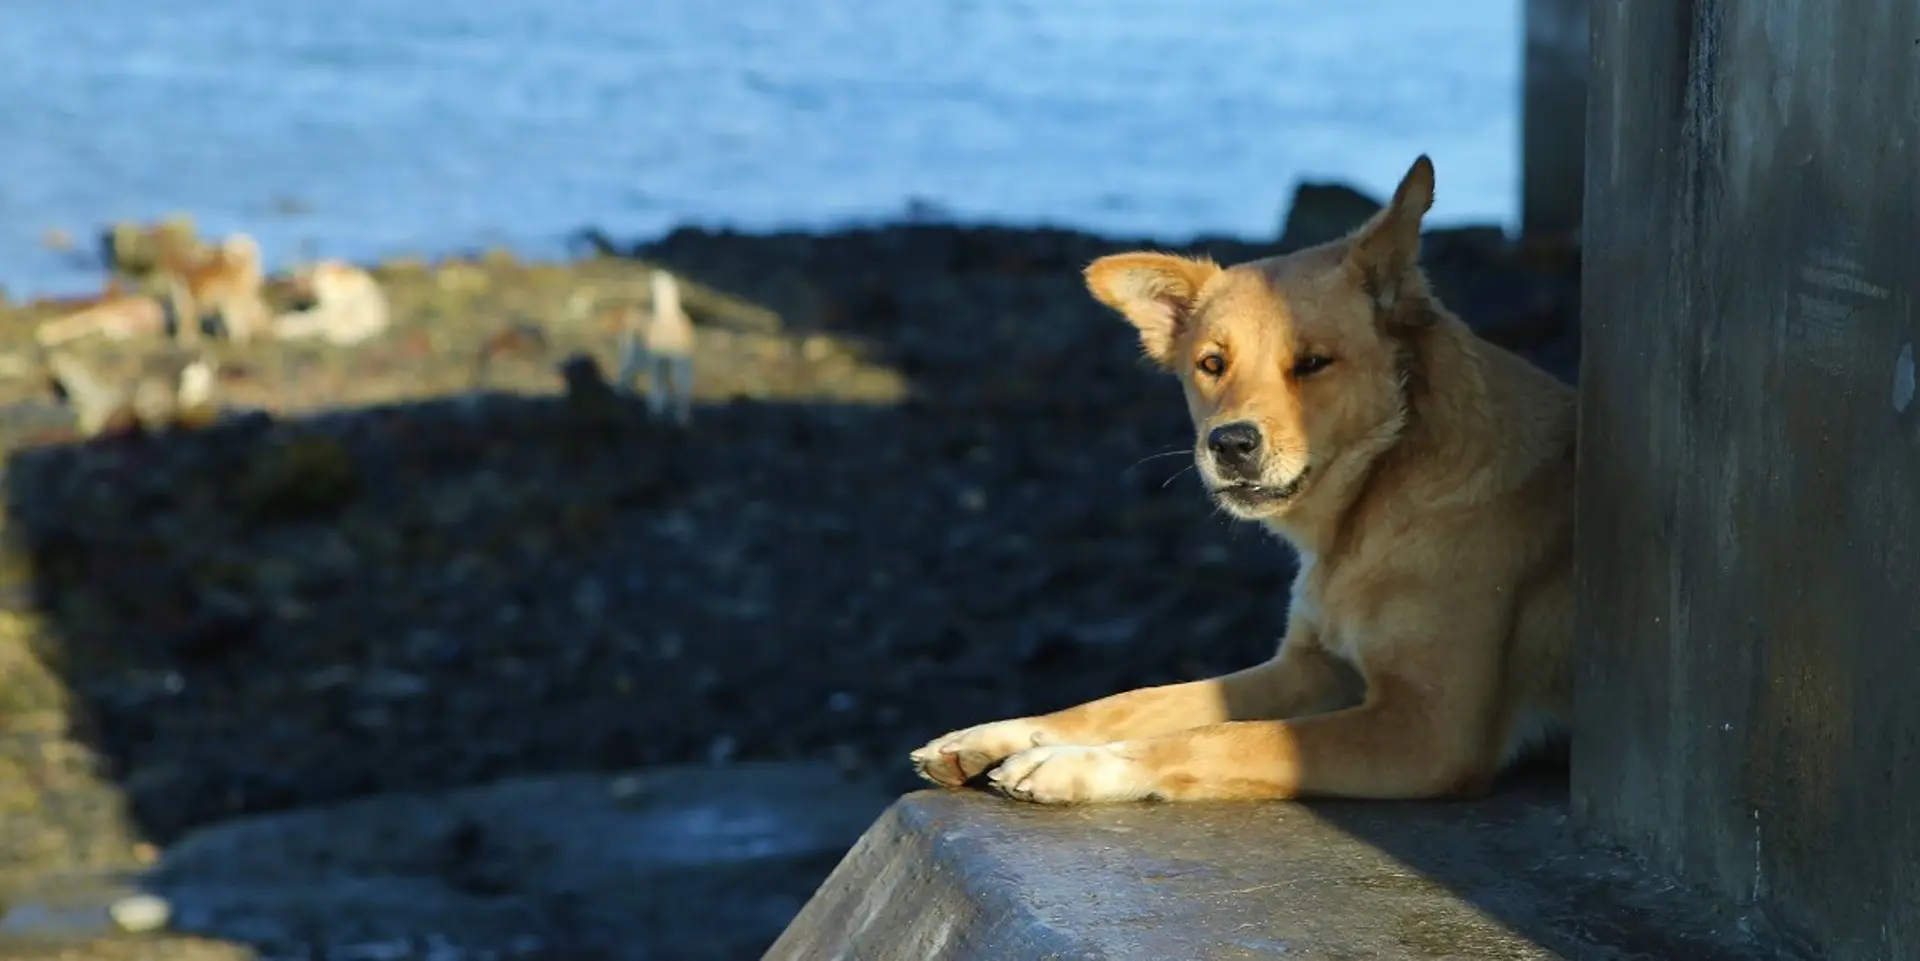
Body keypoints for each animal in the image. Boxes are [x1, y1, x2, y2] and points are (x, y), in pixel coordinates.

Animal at [906, 157, 1566, 801]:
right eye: (1212, 364)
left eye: (1313, 363)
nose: (1229, 444)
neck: (1373, 499)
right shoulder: (1308, 668)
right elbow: (1138, 701)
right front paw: (1006, 733)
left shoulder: (1429, 731)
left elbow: (1228, 738)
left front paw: (1084, 765)